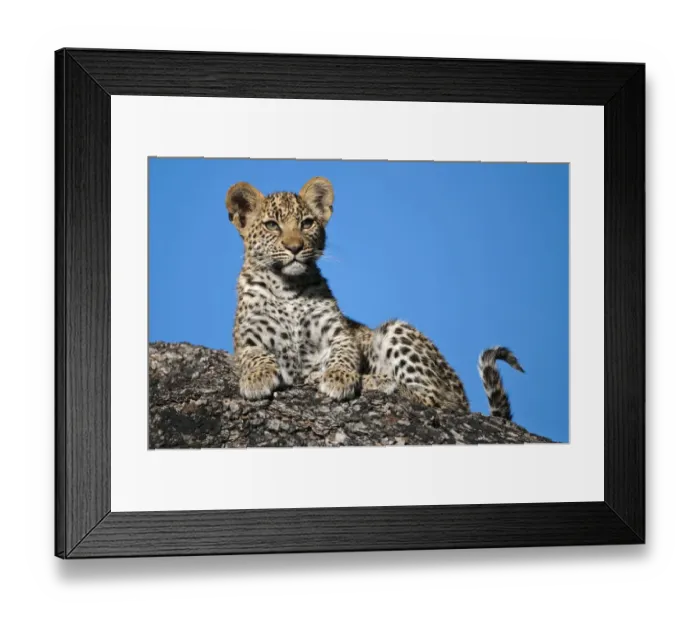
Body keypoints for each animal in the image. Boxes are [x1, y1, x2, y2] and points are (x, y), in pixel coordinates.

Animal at [226, 176, 524, 420]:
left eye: (307, 223)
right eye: (272, 225)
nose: (295, 247)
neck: (287, 288)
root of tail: (464, 398)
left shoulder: (340, 335)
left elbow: (343, 356)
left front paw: (338, 378)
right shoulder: (247, 340)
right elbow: (254, 355)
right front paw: (258, 378)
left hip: (398, 332)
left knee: (434, 398)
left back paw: (373, 380)